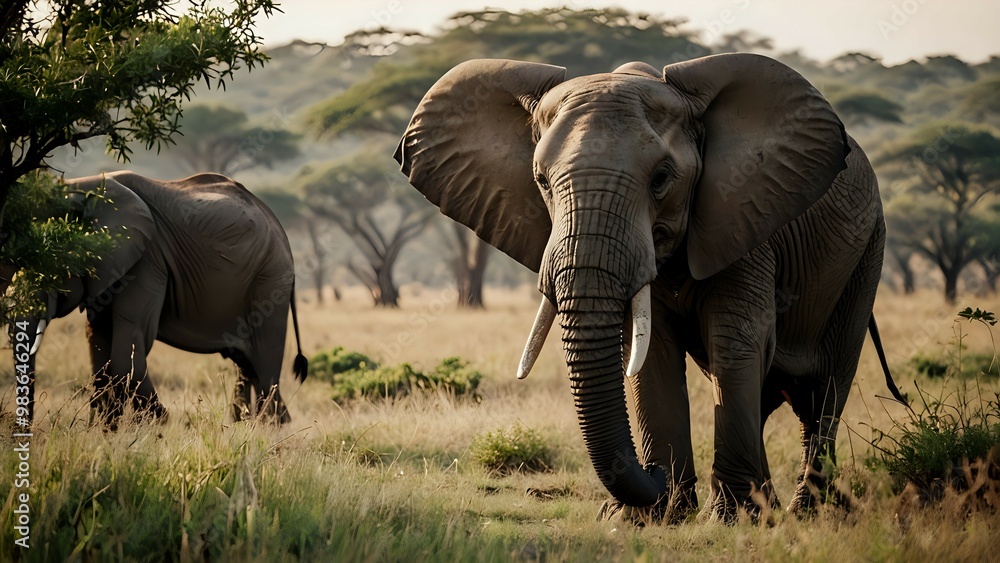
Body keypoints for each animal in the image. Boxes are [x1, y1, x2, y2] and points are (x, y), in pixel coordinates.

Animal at [6, 171, 308, 428]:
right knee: (246, 365)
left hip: (269, 282)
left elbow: (130, 343)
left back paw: (273, 426)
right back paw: (248, 423)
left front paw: (155, 424)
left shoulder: (146, 261)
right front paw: (109, 430)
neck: (81, 188)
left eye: (50, 269)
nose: (22, 430)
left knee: (265, 364)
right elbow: (99, 341)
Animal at [395, 54, 906, 522]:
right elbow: (651, 351)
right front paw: (658, 515)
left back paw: (806, 513)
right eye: (540, 181)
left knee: (825, 390)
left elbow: (736, 340)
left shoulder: (745, 218)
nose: (652, 473)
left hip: (867, 253)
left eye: (661, 178)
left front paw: (733, 518)